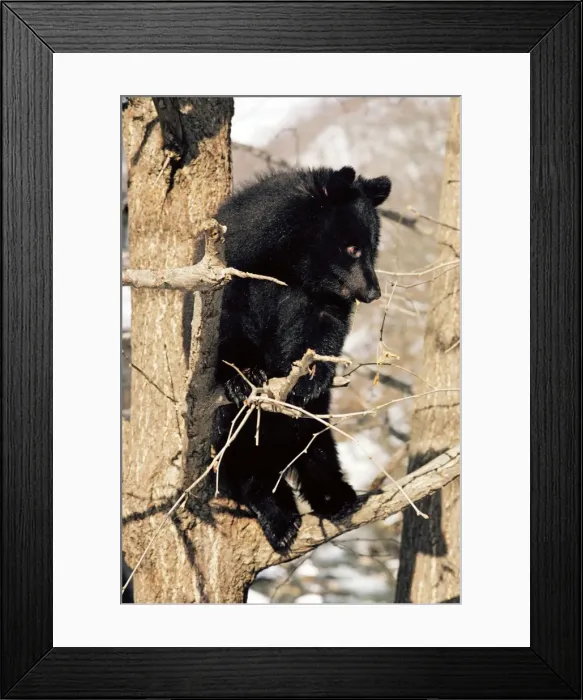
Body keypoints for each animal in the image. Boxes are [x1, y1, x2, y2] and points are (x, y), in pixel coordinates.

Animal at [213, 166, 391, 552]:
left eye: (373, 249)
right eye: (352, 248)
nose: (373, 292)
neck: (287, 266)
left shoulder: (320, 298)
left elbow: (325, 328)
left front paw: (309, 378)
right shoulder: (233, 269)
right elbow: (227, 322)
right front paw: (243, 377)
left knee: (316, 442)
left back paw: (337, 496)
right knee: (237, 456)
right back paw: (278, 516)